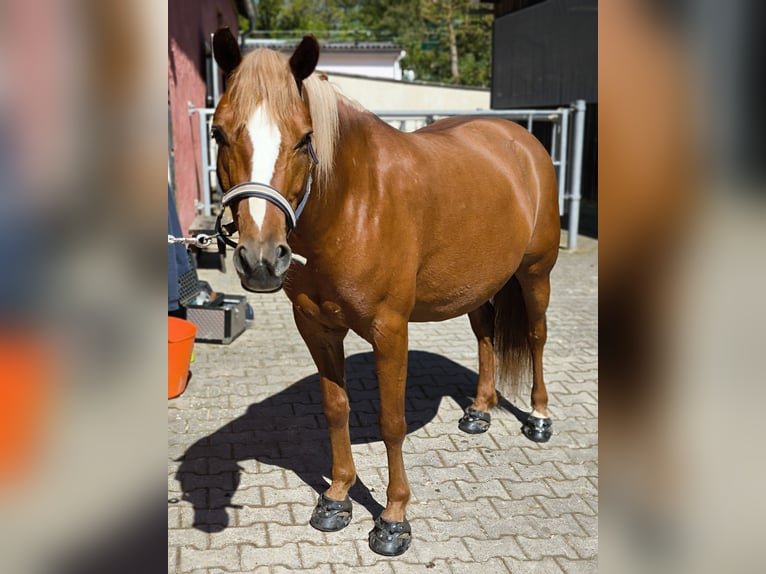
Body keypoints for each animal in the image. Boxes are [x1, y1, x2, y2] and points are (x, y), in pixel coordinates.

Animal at [213, 28, 560, 560]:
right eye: (218, 134)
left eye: (305, 139)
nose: (262, 259)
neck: (354, 203)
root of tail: (522, 141)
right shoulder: (316, 326)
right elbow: (336, 409)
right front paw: (337, 498)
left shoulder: (390, 330)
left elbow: (391, 422)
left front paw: (394, 520)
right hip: (481, 283)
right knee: (485, 335)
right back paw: (479, 411)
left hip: (535, 274)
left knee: (537, 337)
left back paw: (539, 418)